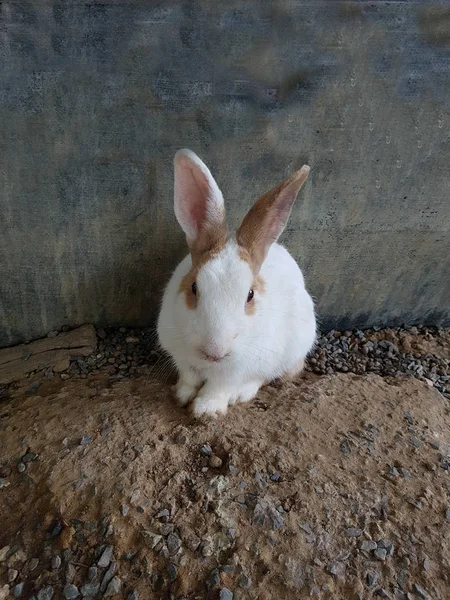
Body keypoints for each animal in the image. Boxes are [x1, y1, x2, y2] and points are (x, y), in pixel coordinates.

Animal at [158, 148, 316, 414]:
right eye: (194, 287)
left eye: (250, 295)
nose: (215, 351)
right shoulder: (181, 355)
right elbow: (189, 377)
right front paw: (181, 395)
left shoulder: (237, 367)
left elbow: (219, 386)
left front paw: (206, 410)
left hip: (290, 351)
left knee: (266, 376)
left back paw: (241, 393)